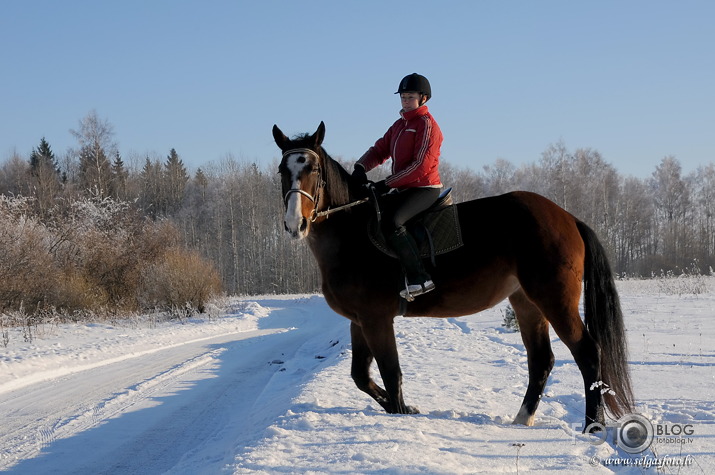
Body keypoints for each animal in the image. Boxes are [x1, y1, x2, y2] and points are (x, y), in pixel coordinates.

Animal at [272, 120, 636, 432]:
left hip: (554, 300)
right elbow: (361, 376)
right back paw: (523, 418)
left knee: (587, 353)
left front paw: (402, 413)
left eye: (313, 169)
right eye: (282, 170)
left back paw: (592, 426)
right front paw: (404, 409)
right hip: (527, 303)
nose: (294, 224)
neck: (353, 234)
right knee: (541, 360)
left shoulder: (377, 319)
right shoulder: (359, 321)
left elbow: (391, 372)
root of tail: (567, 217)